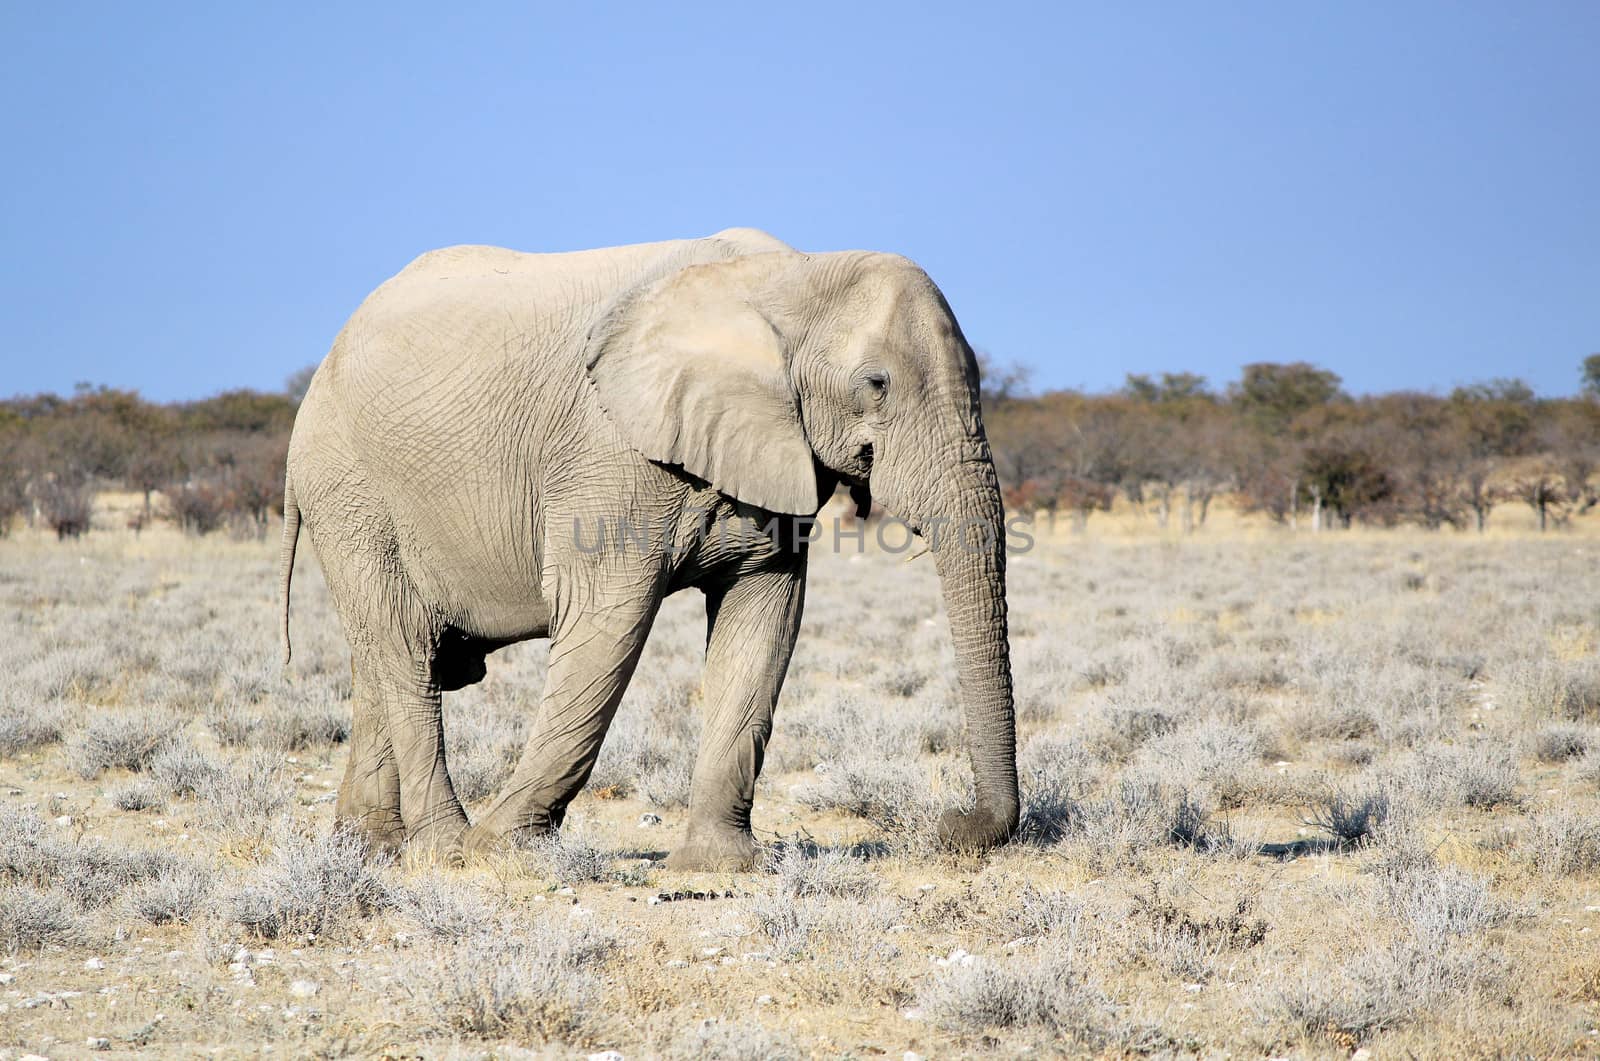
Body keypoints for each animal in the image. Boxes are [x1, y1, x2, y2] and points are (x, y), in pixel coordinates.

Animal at [280, 228, 1017, 870]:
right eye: (876, 383)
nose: (954, 826)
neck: (791, 276)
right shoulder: (609, 455)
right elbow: (608, 623)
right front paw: (504, 851)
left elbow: (765, 621)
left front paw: (720, 866)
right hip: (348, 485)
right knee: (404, 646)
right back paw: (445, 849)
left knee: (386, 657)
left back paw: (369, 849)